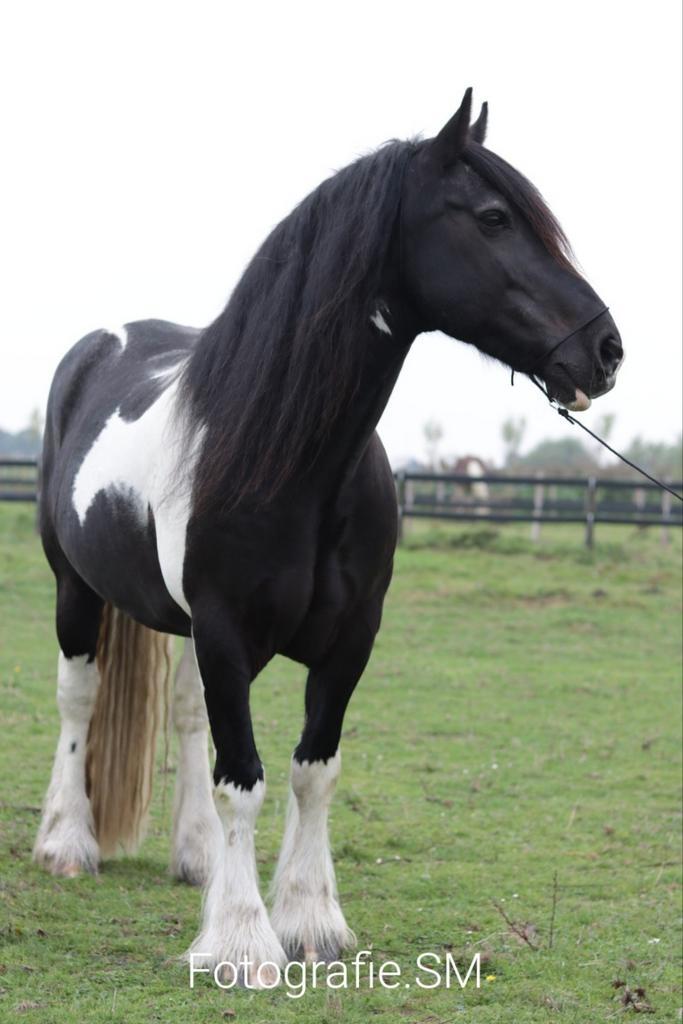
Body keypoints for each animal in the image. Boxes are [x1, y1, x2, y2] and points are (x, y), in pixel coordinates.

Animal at [33, 89, 623, 985]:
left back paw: (197, 858)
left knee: (186, 719)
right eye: (492, 218)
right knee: (80, 698)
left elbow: (312, 771)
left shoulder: (349, 641)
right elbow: (243, 780)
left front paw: (310, 924)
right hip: (76, 589)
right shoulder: (227, 633)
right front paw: (241, 943)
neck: (292, 462)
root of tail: (104, 344)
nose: (605, 348)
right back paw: (69, 843)